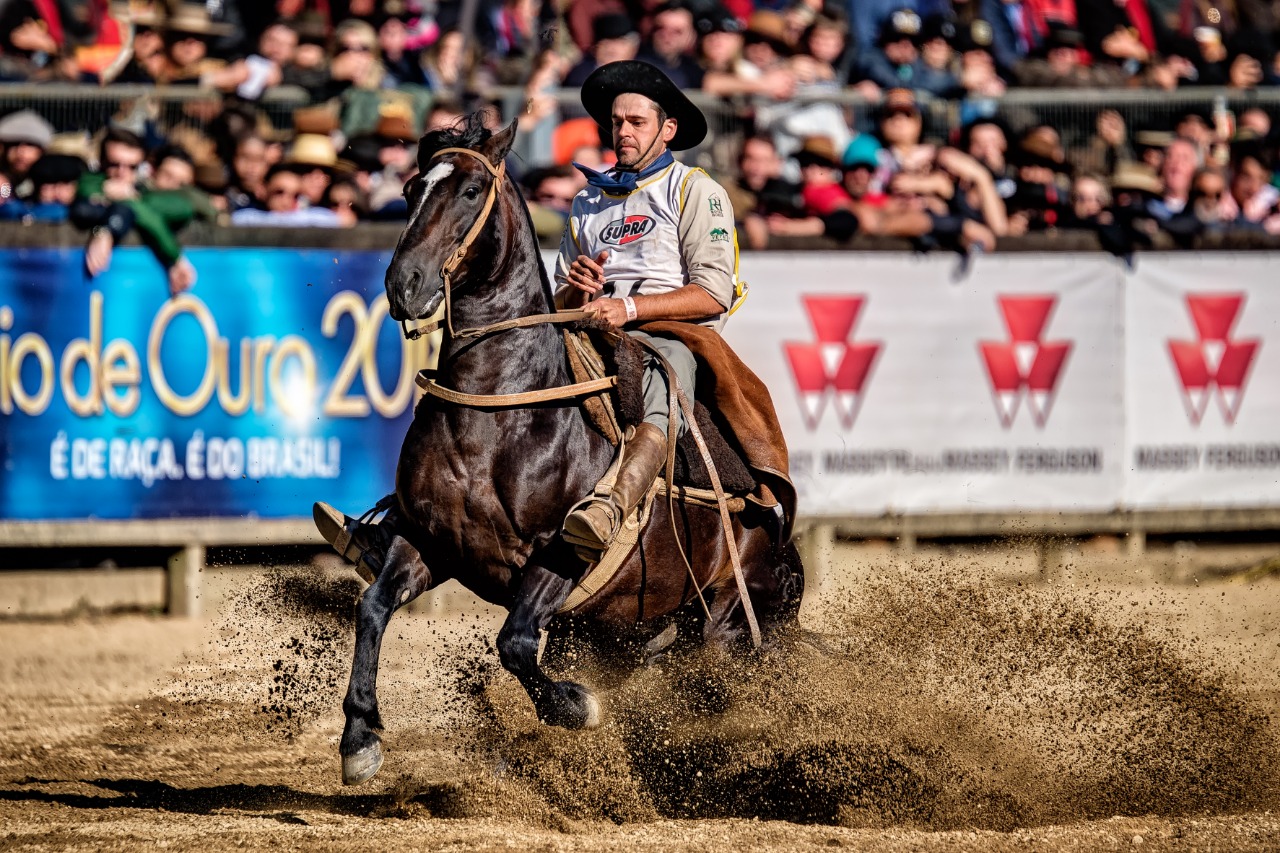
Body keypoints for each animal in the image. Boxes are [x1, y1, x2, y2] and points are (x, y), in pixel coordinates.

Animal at [335, 117, 803, 783]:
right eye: (409, 190)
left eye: (472, 190)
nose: (405, 285)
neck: (501, 411)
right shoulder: (432, 541)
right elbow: (372, 607)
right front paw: (359, 738)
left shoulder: (559, 560)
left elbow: (516, 643)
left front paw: (574, 704)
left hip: (728, 623)